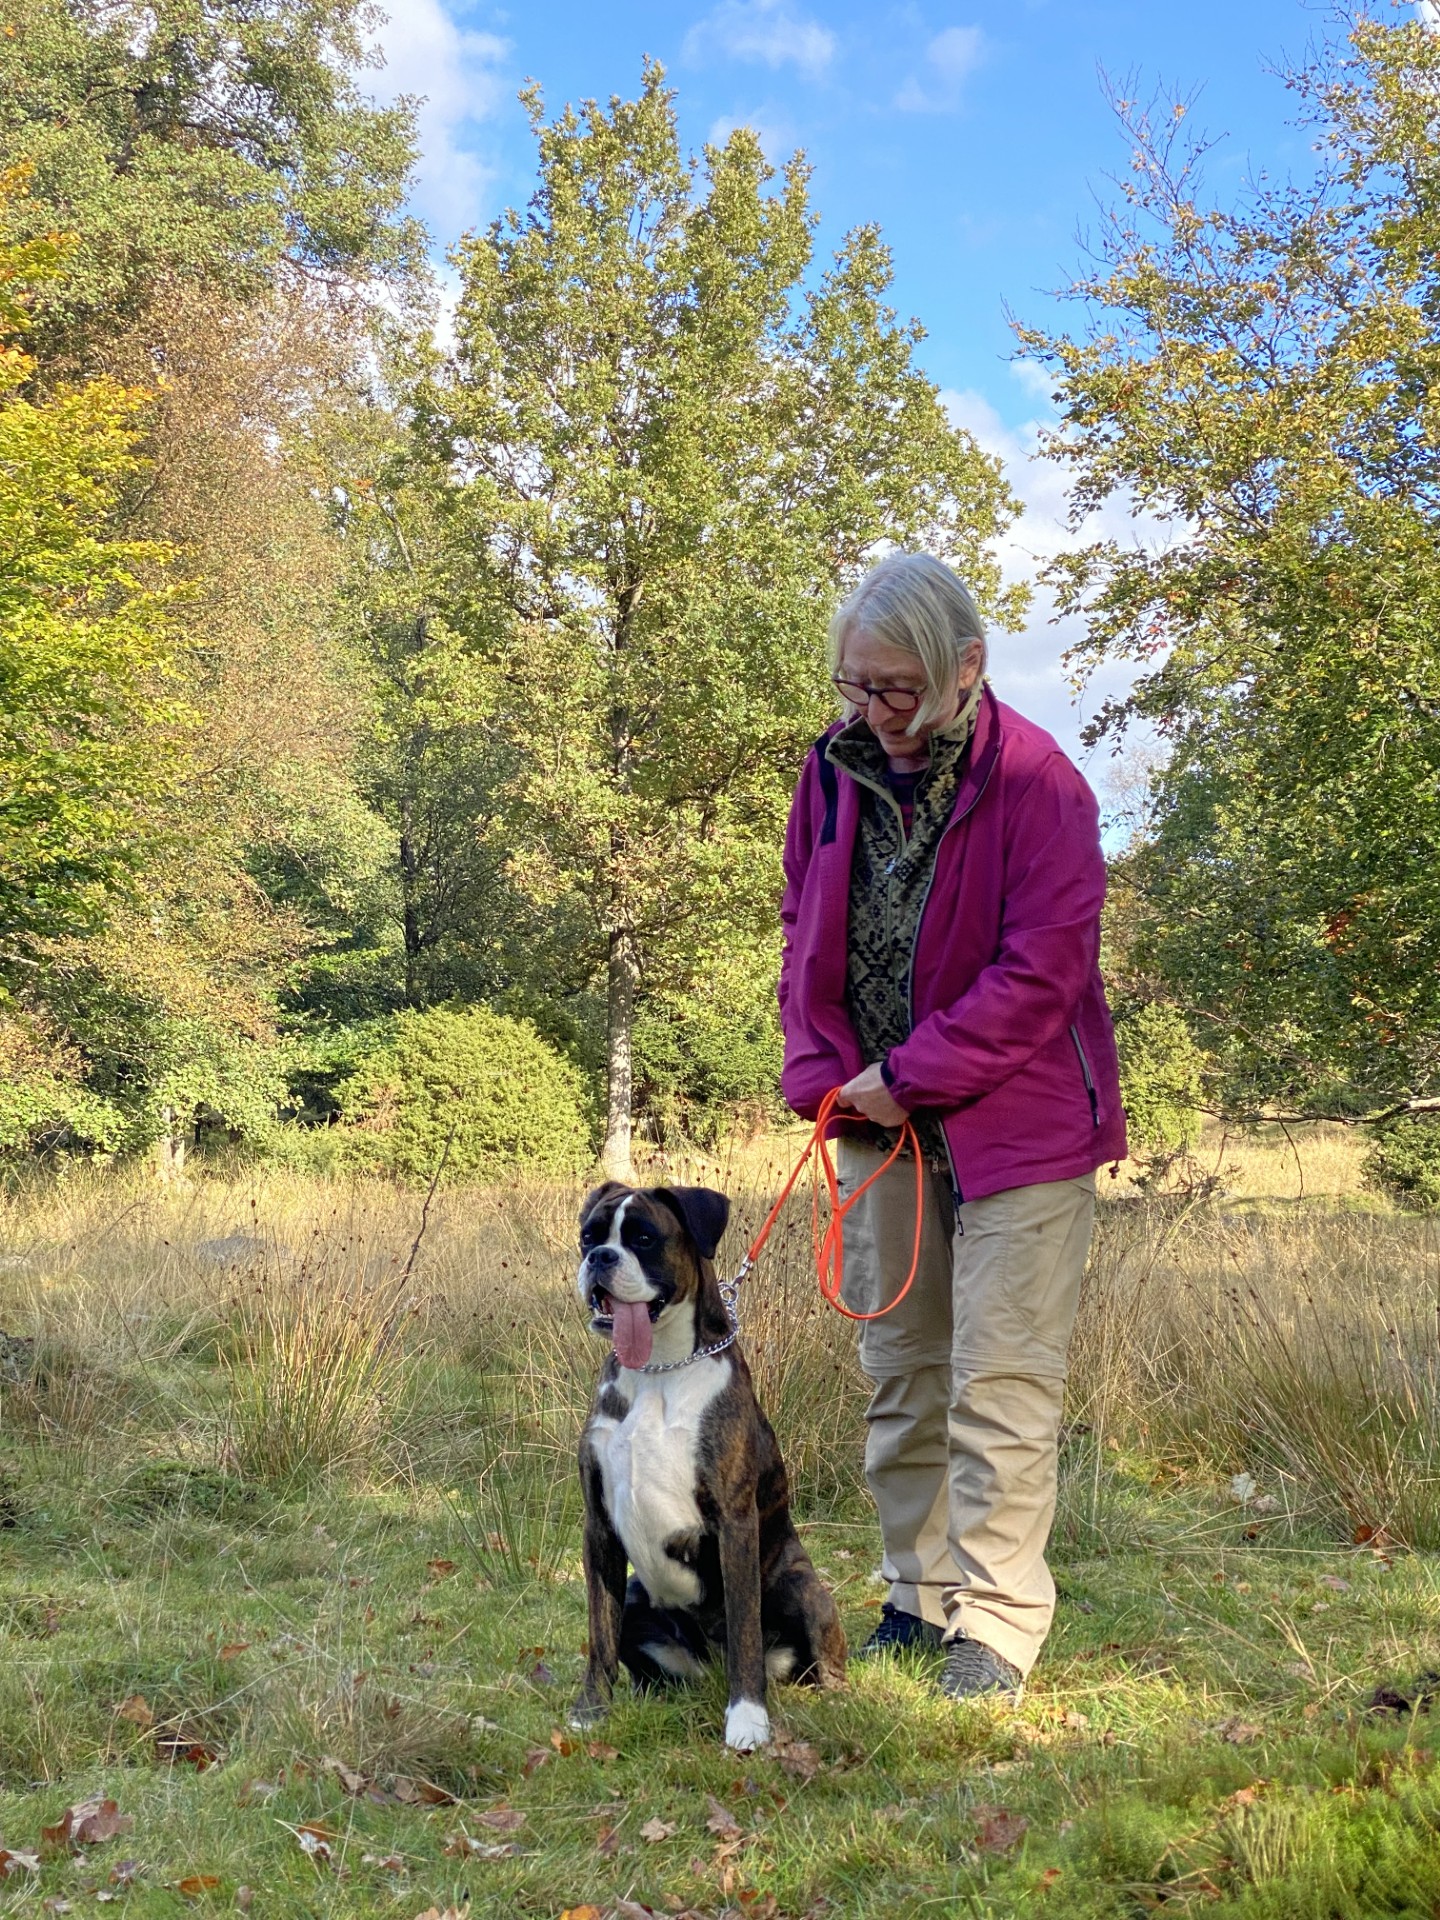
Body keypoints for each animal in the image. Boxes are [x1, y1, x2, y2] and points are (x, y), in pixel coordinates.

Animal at [569, 1181, 846, 1751]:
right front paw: (591, 1710)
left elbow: (743, 1631)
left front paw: (747, 1720)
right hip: (638, 1596)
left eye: (644, 1238)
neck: (657, 1371)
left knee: (813, 1661)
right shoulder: (599, 1528)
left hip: (802, 1589)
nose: (599, 1257)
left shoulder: (733, 1524)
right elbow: (599, 1633)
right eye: (589, 1235)